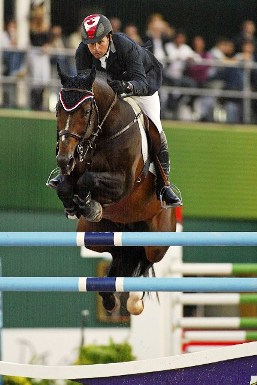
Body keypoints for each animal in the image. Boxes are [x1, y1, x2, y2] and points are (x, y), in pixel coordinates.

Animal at [53, 65, 175, 316]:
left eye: (86, 111)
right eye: (58, 109)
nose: (64, 159)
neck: (102, 135)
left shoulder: (123, 184)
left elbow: (88, 179)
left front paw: (89, 204)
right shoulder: (73, 172)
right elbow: (66, 187)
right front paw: (77, 205)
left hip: (157, 241)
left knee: (145, 258)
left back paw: (134, 299)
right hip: (94, 236)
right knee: (119, 256)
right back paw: (109, 296)